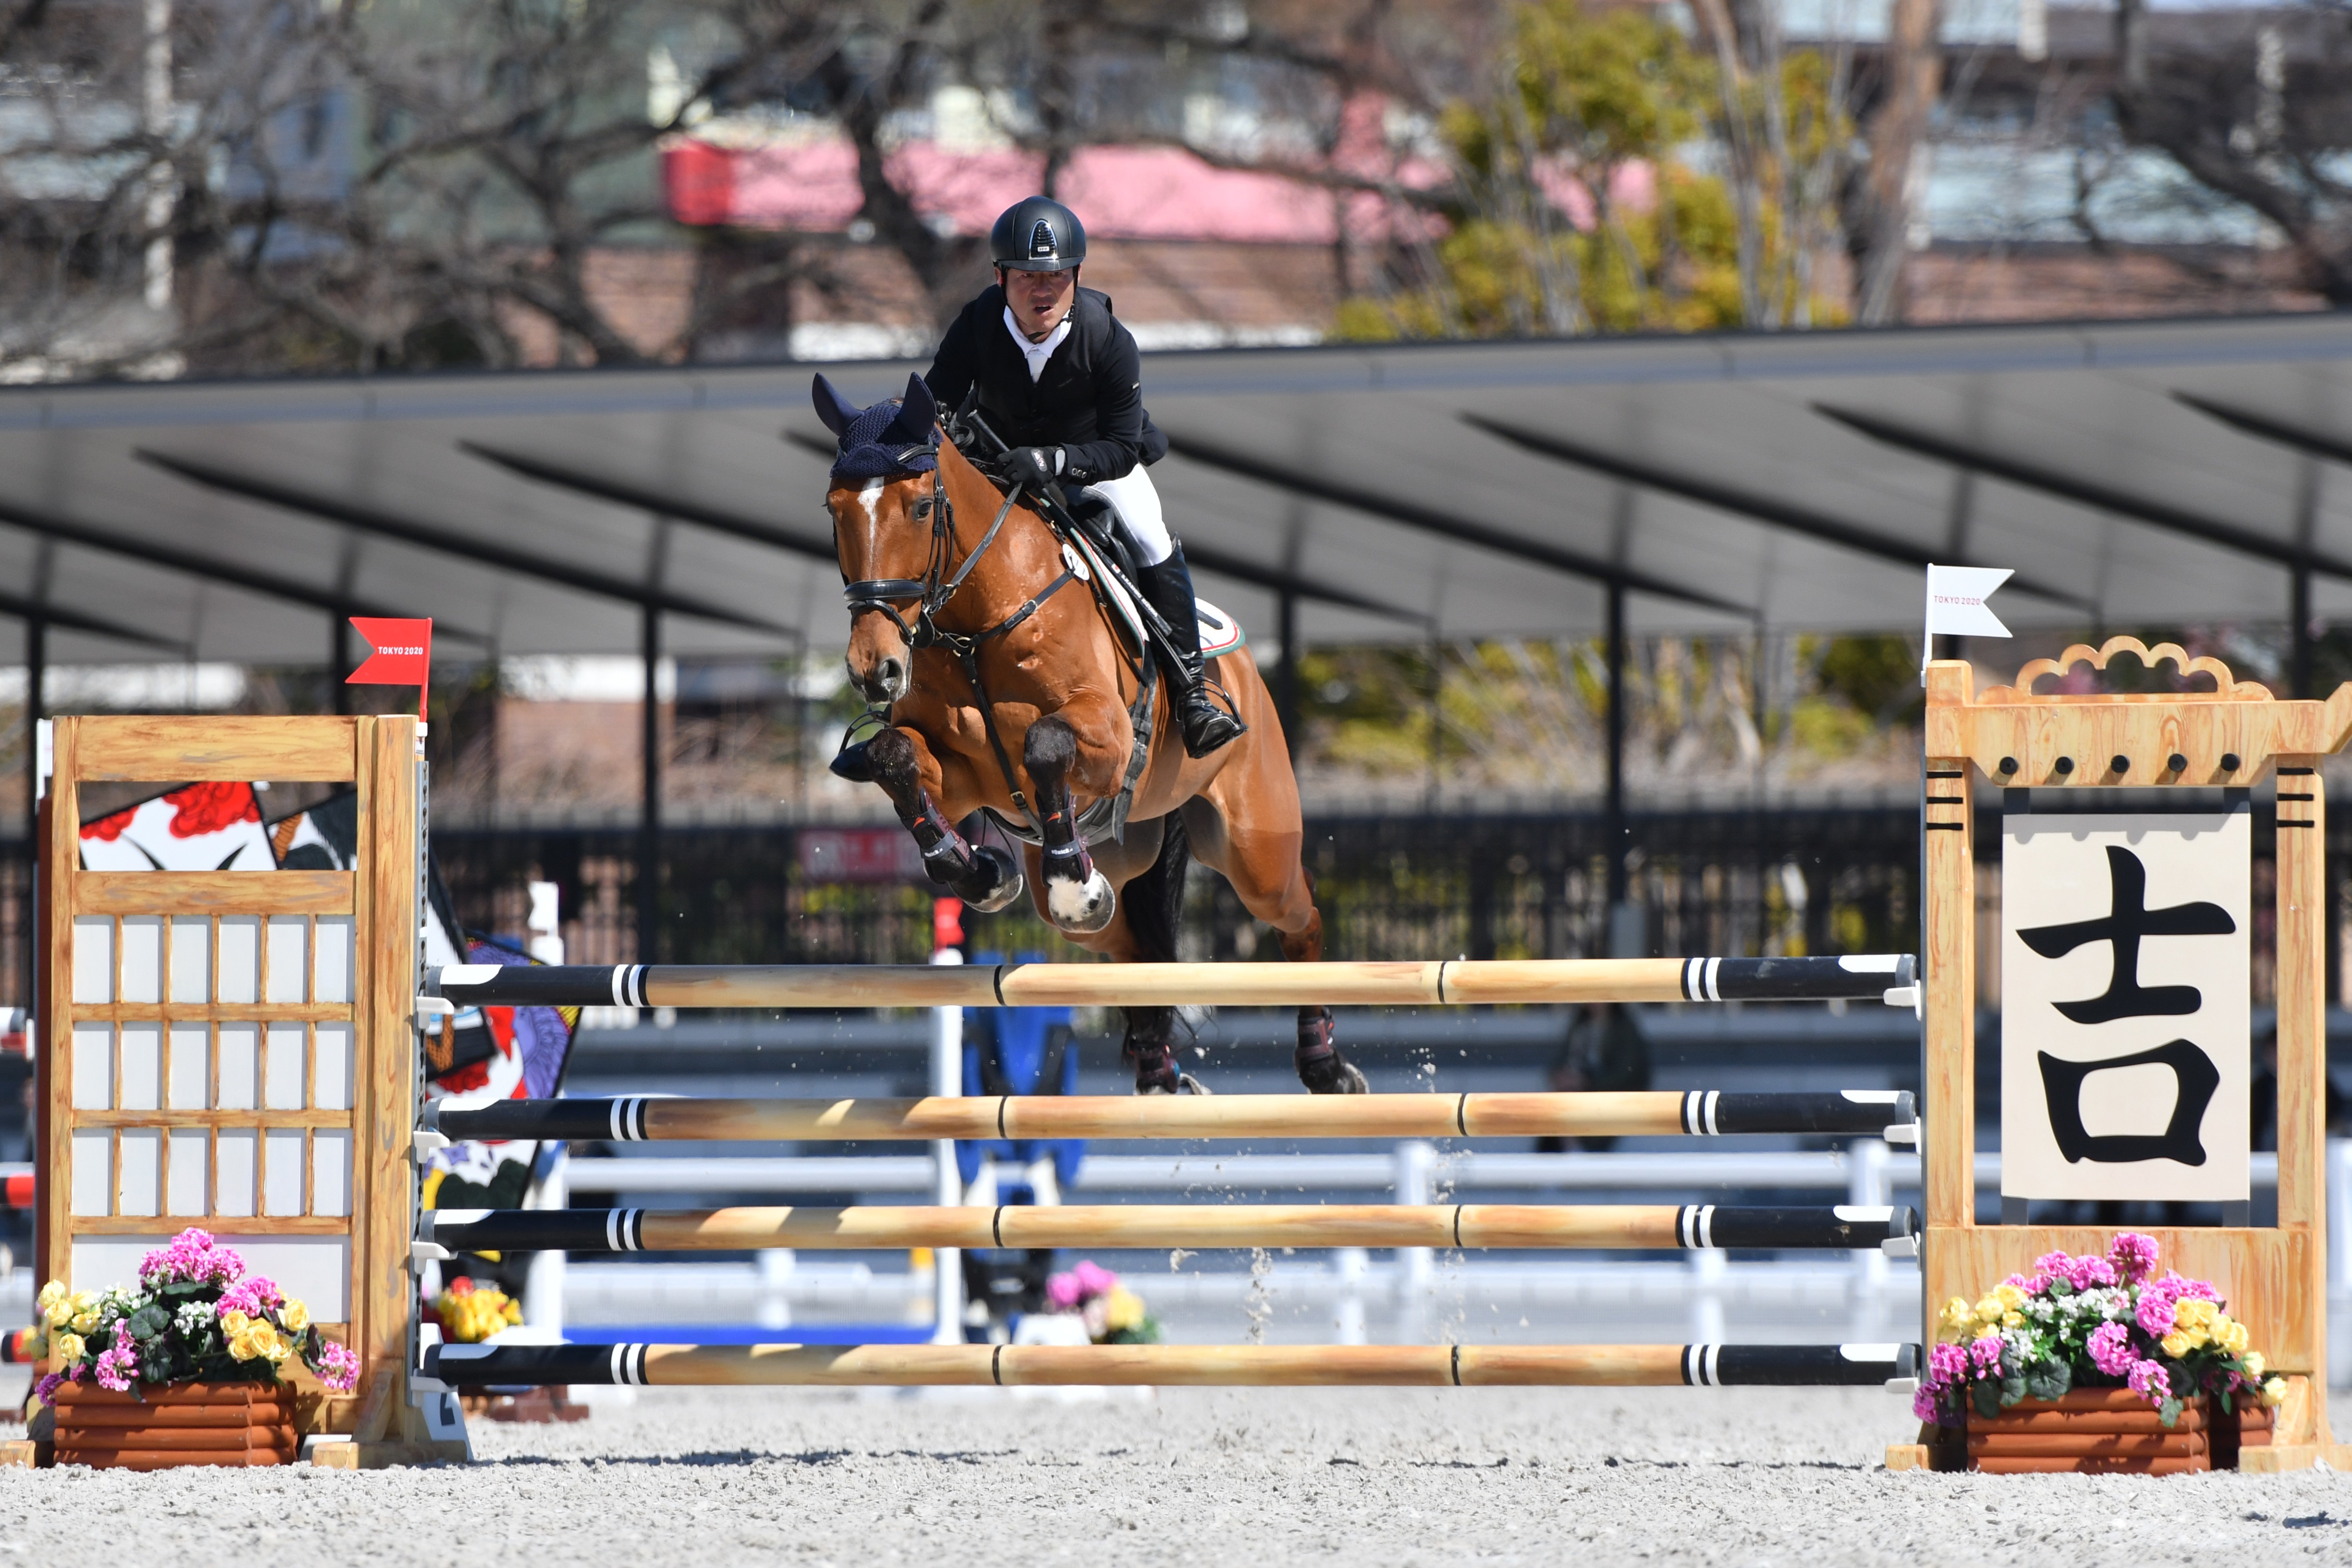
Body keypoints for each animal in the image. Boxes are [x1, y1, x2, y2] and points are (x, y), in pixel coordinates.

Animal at [813, 371, 1364, 1097]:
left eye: (921, 507)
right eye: (834, 510)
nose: (874, 669)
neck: (974, 625)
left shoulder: (1106, 740)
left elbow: (1045, 744)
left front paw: (1058, 877)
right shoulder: (964, 779)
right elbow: (895, 756)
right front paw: (978, 873)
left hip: (1254, 848)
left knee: (1298, 919)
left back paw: (1326, 1066)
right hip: (1126, 860)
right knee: (1130, 949)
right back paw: (1157, 1067)